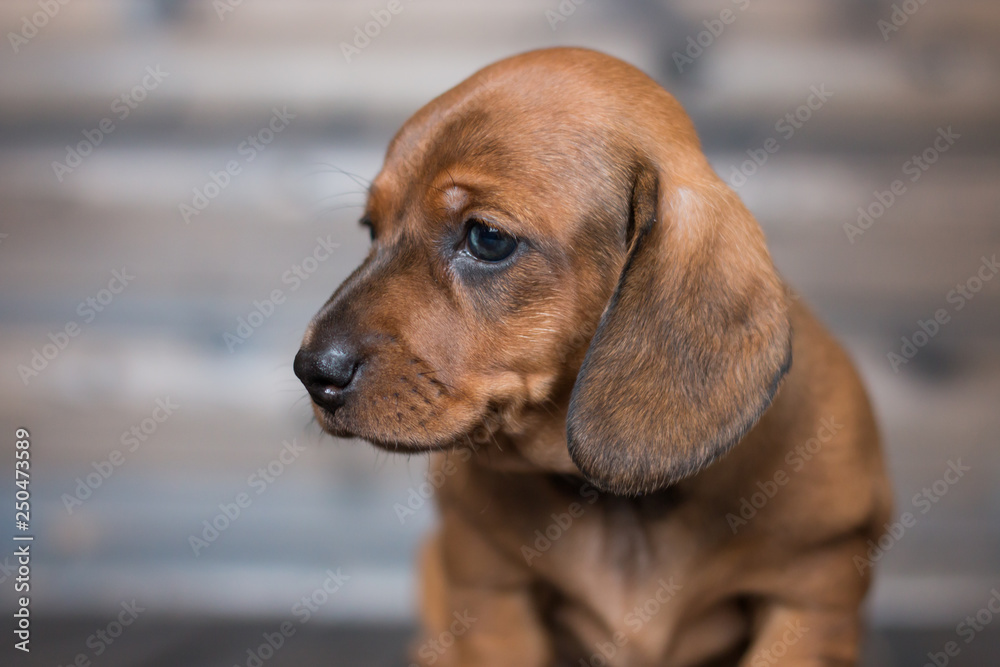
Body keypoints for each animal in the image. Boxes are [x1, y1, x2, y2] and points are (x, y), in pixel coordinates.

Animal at [294, 48, 892, 667]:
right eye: (371, 228)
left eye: (487, 238)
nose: (312, 372)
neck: (619, 504)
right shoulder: (490, 592)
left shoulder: (811, 596)